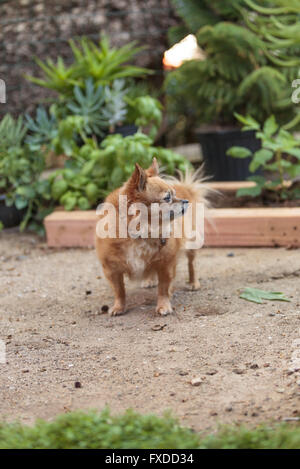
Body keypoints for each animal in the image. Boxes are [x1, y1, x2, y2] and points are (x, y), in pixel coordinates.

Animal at [96, 159, 209, 316]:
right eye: (167, 197)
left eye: (174, 194)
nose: (186, 201)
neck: (139, 234)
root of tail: (185, 188)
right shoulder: (111, 269)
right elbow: (119, 290)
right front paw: (119, 307)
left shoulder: (166, 264)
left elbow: (163, 288)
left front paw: (163, 306)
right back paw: (149, 280)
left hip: (191, 244)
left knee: (192, 263)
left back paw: (193, 283)